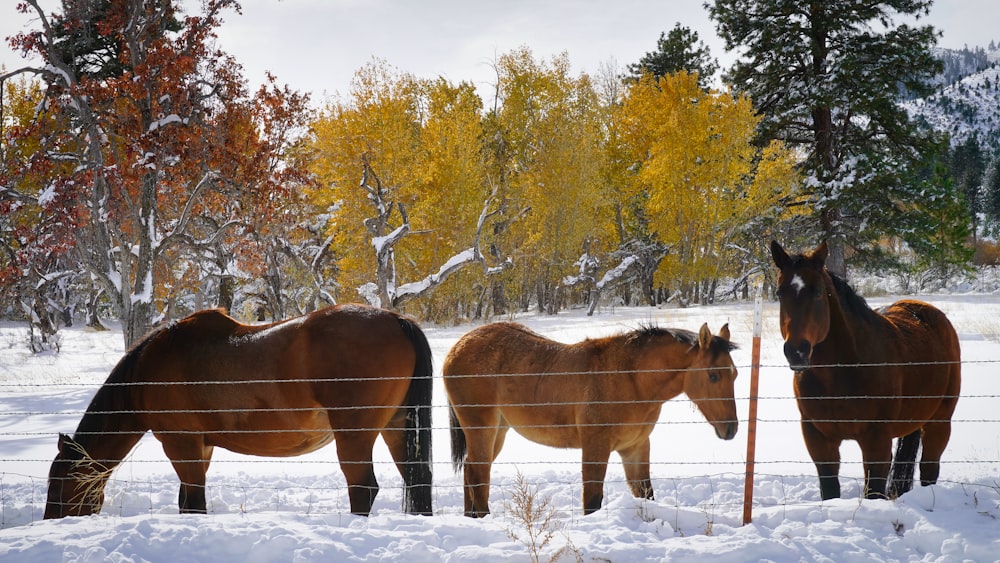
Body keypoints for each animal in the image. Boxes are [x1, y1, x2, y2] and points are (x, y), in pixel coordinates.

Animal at [45, 304, 432, 520]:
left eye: (59, 481)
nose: (52, 519)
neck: (146, 372)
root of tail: (397, 319)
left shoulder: (180, 443)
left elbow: (193, 502)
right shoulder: (202, 446)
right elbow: (188, 501)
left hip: (354, 435)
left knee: (363, 488)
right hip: (397, 428)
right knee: (418, 479)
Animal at [442, 322, 740, 516]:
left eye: (735, 373)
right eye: (713, 375)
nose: (731, 429)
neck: (630, 378)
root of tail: (457, 347)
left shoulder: (635, 448)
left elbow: (646, 493)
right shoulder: (596, 447)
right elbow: (593, 500)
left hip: (498, 431)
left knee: (471, 469)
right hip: (483, 428)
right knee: (479, 474)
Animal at [772, 242, 960, 502]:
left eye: (818, 292)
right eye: (780, 294)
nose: (796, 352)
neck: (841, 374)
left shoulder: (876, 441)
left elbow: (874, 489)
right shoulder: (819, 441)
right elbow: (830, 490)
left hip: (940, 422)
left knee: (929, 469)